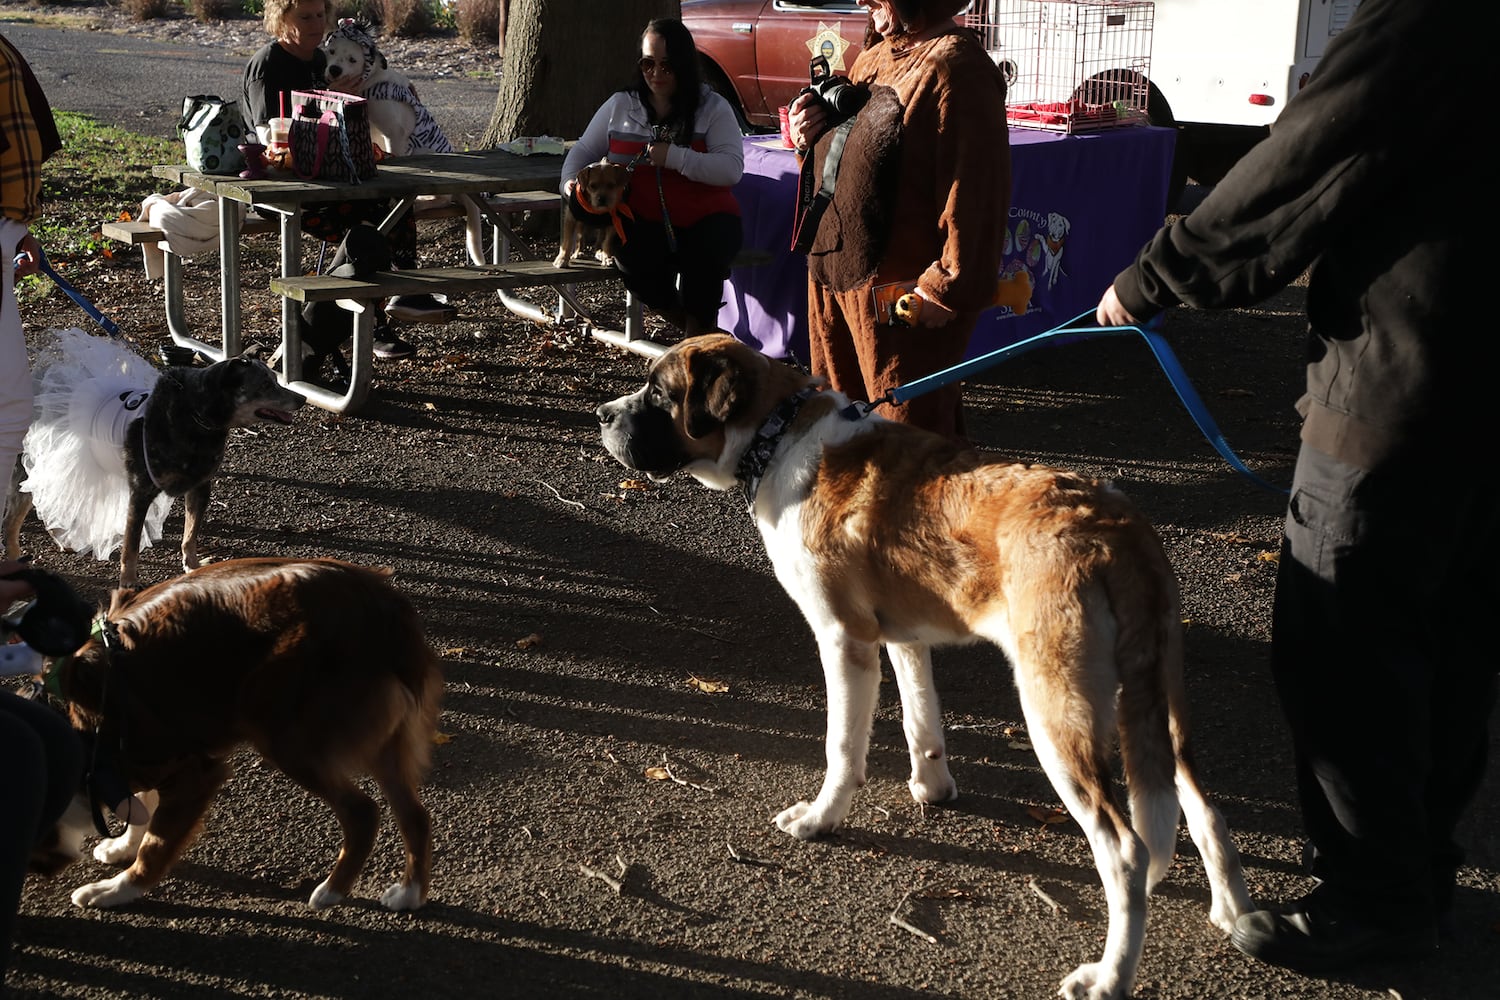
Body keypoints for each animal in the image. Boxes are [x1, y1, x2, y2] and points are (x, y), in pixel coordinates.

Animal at [35, 560, 441, 911]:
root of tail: (389, 610)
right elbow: (141, 803)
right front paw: (122, 846)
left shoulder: (192, 771)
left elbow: (155, 844)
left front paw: (113, 890)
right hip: (382, 742)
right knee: (415, 816)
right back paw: (409, 893)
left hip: (287, 737)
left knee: (363, 812)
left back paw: (332, 891)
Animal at [597, 335, 1254, 1000]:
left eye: (660, 393)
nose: (602, 414)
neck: (777, 435)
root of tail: (1116, 526)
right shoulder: (905, 639)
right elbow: (922, 720)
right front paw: (932, 789)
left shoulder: (845, 640)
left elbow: (842, 746)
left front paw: (822, 818)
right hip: (1155, 703)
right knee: (1203, 807)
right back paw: (1234, 916)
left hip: (1055, 711)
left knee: (1125, 851)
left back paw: (1110, 975)